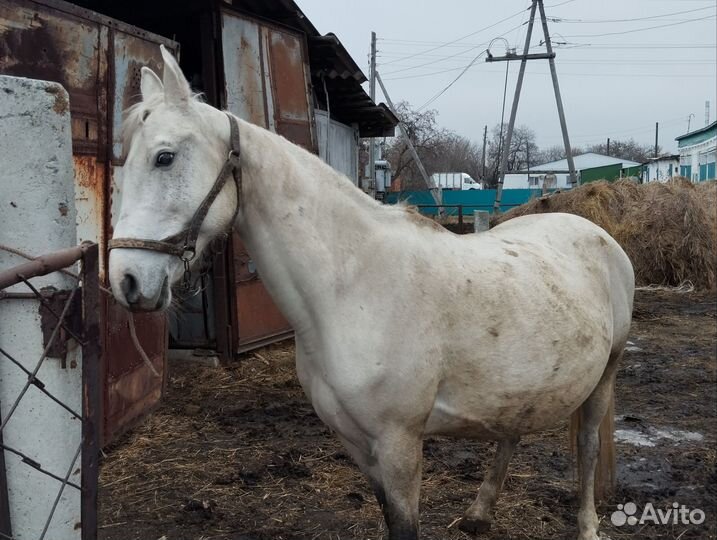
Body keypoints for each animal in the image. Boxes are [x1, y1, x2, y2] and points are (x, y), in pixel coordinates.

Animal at [108, 45, 634, 540]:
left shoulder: (399, 444)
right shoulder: (358, 444)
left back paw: (588, 526)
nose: (125, 280)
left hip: (606, 373)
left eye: (164, 157)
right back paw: (479, 515)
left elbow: (404, 526)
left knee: (587, 446)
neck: (352, 288)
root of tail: (596, 233)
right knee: (511, 433)